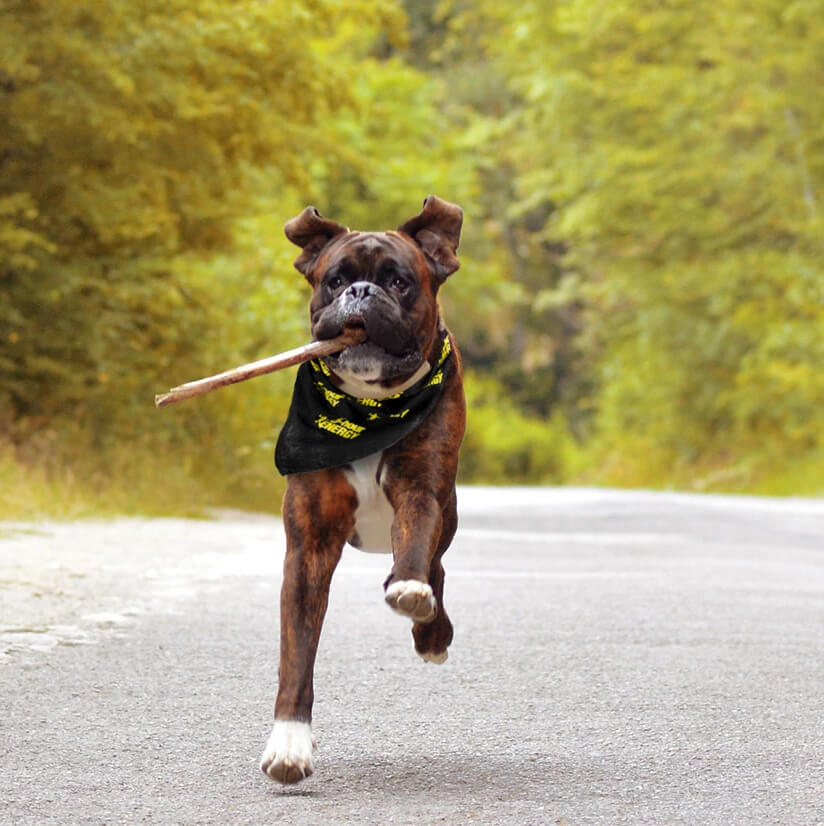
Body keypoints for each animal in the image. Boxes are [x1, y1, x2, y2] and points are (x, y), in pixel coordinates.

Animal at [260, 193, 466, 780]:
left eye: (399, 282)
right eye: (335, 280)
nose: (362, 292)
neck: (369, 410)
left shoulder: (421, 492)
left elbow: (416, 555)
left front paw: (412, 594)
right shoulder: (308, 549)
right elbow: (297, 658)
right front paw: (289, 743)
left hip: (447, 514)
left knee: (434, 570)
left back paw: (429, 628)